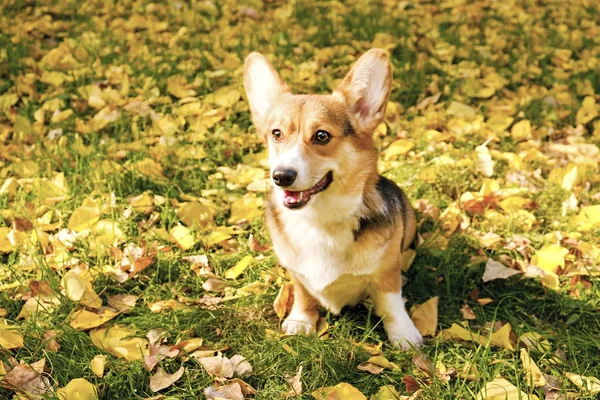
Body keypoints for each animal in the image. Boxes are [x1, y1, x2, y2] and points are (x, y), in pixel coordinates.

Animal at [243, 48, 422, 348]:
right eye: (276, 134)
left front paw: (404, 334)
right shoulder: (297, 272)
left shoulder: (387, 273)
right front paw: (302, 320)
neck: (320, 221)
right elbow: (303, 293)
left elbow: (391, 303)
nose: (281, 176)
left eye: (322, 136)